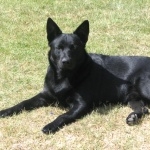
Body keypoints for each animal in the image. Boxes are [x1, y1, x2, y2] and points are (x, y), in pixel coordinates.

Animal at [0, 18, 150, 134]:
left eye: (74, 47)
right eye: (59, 48)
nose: (66, 61)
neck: (63, 77)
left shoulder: (81, 104)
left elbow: (64, 115)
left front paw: (50, 125)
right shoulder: (44, 95)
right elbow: (24, 102)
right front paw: (6, 111)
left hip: (143, 87)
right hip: (132, 98)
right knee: (143, 109)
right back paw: (133, 117)